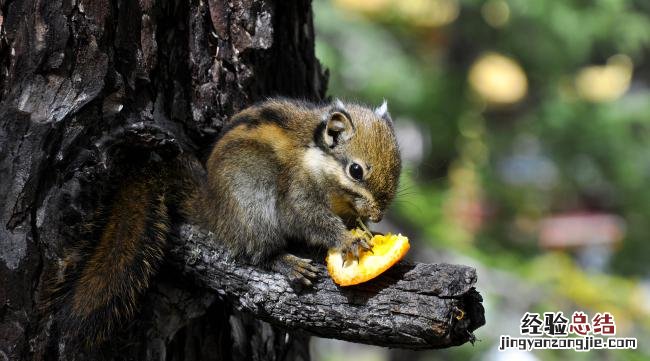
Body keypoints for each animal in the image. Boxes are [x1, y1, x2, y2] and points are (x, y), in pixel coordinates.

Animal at [45, 97, 400, 344]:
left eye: (397, 171)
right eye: (356, 170)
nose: (378, 215)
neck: (316, 159)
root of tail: (212, 207)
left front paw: (365, 230)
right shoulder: (296, 194)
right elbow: (311, 220)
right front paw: (348, 239)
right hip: (254, 208)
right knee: (256, 253)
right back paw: (287, 262)